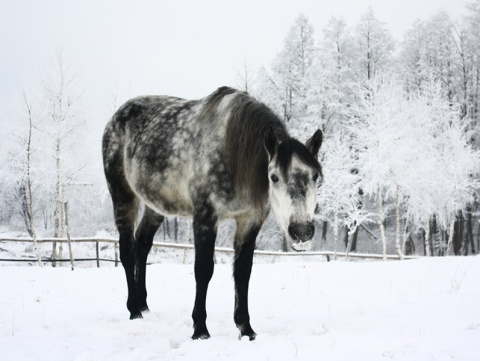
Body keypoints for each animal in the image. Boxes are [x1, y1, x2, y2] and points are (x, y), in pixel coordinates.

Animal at [103, 86, 324, 338]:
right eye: (274, 176)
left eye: (315, 176)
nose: (302, 232)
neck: (233, 153)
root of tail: (116, 118)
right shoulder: (206, 217)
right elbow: (203, 270)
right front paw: (200, 329)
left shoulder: (250, 220)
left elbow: (243, 272)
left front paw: (246, 329)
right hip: (123, 195)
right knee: (127, 250)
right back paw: (133, 310)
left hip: (155, 207)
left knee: (142, 245)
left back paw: (143, 306)